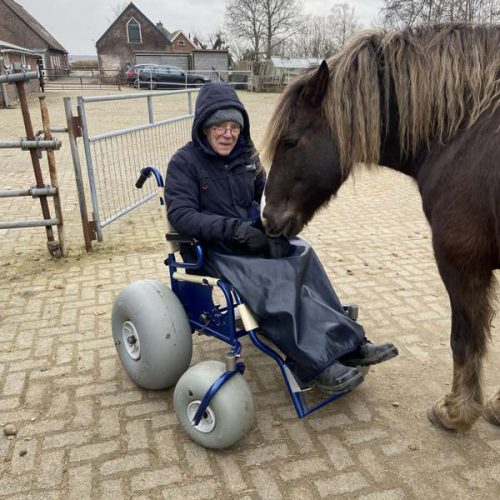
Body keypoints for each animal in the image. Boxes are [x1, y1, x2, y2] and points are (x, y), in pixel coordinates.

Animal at [262, 22, 500, 430]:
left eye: (290, 141)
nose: (267, 217)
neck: (462, 135)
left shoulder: (461, 261)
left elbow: (464, 335)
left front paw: (456, 411)